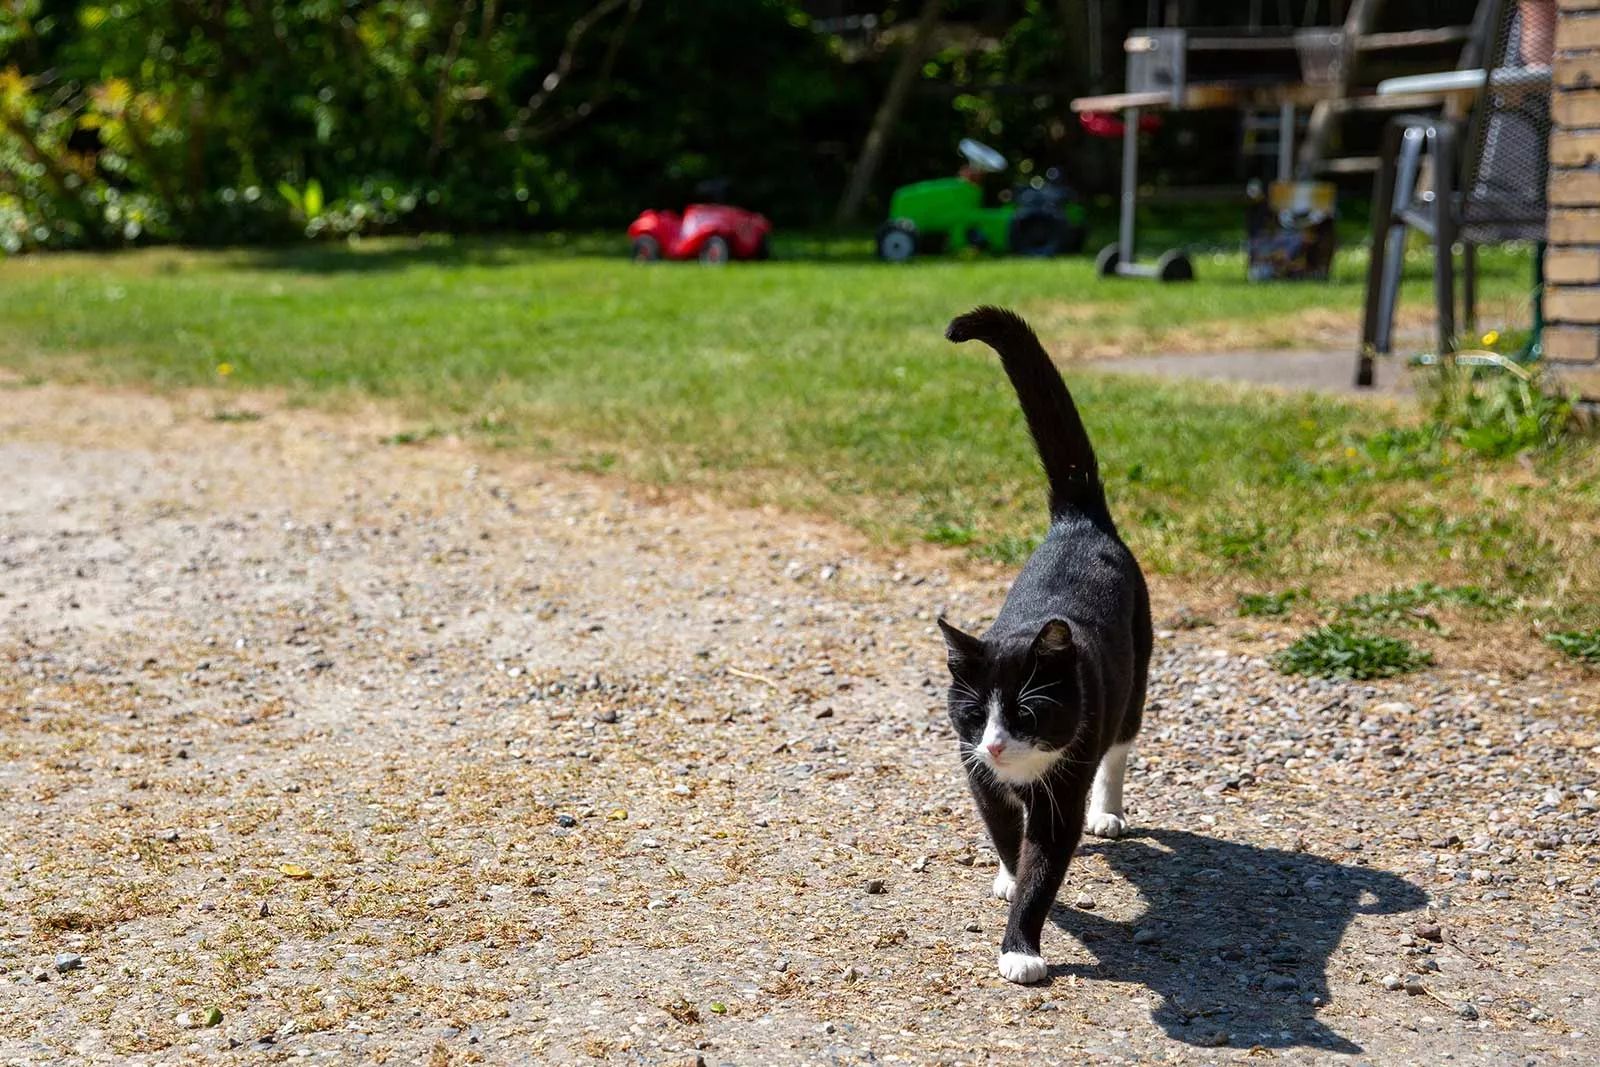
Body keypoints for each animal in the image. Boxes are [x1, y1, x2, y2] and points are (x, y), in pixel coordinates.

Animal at [934, 302, 1152, 985]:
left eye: (1028, 713)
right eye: (974, 714)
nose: (997, 744)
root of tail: (1079, 520)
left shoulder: (1063, 787)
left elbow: (1045, 864)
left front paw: (1021, 950)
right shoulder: (975, 771)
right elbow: (1006, 834)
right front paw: (1007, 876)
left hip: (1135, 670)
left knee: (1122, 743)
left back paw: (1108, 811)